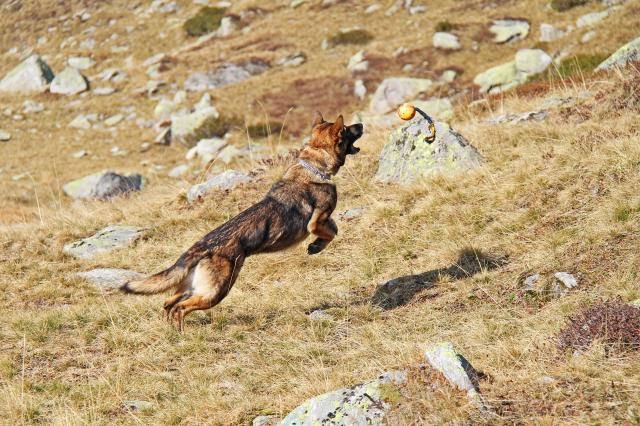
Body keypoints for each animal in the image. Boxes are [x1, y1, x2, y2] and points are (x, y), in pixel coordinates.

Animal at [117, 112, 362, 330]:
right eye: (347, 129)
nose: (361, 124)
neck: (314, 165)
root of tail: (196, 249)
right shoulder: (317, 220)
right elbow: (331, 231)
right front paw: (317, 245)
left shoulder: (323, 220)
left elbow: (333, 229)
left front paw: (316, 246)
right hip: (215, 292)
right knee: (180, 308)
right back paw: (181, 332)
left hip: (191, 287)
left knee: (168, 302)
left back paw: (171, 330)